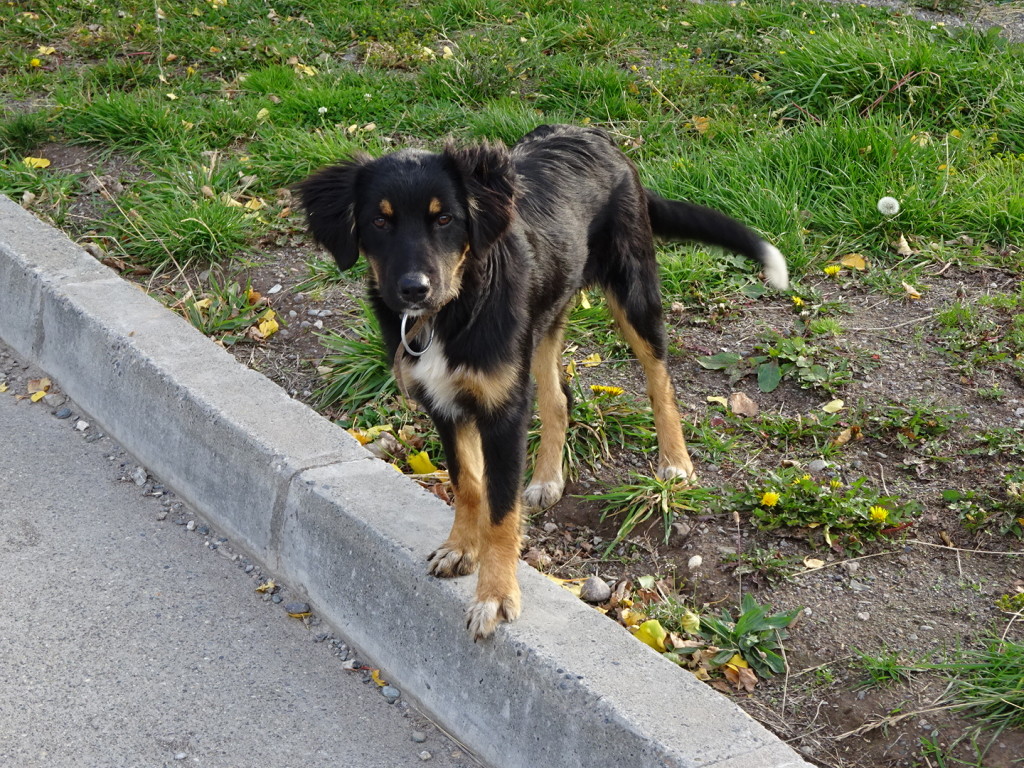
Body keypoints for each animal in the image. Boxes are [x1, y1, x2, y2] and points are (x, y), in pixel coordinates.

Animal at [299, 126, 786, 638]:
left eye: (445, 218)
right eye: (379, 221)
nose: (415, 289)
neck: (454, 308)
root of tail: (597, 137)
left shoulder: (503, 411)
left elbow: (500, 510)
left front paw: (495, 596)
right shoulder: (446, 403)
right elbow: (468, 483)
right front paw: (461, 548)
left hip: (632, 292)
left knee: (660, 380)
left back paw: (674, 462)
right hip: (542, 323)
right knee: (559, 397)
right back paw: (549, 478)